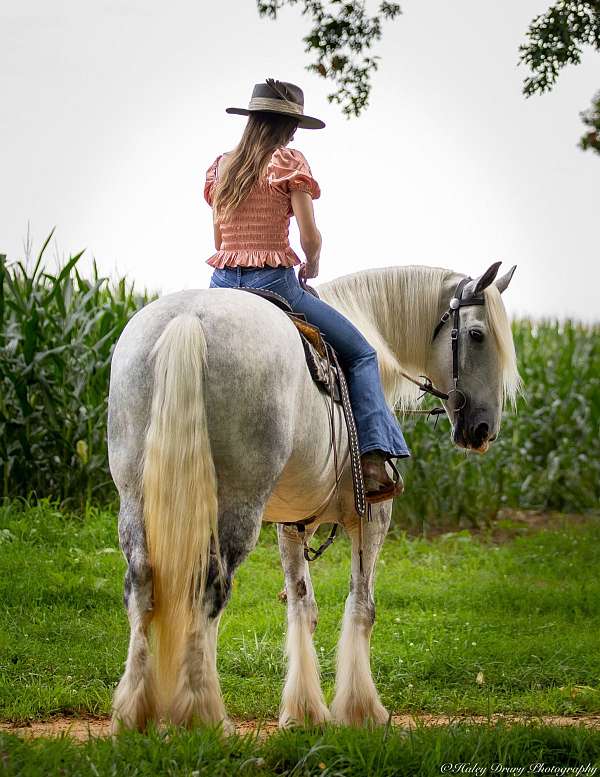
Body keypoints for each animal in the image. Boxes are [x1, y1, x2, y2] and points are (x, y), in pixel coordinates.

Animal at [109, 260, 520, 728]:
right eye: (477, 334)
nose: (483, 429)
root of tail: (188, 319)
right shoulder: (372, 518)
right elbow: (362, 606)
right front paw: (362, 709)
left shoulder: (292, 524)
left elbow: (302, 607)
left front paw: (304, 711)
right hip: (237, 504)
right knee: (211, 587)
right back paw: (203, 714)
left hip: (135, 497)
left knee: (142, 585)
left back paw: (134, 712)